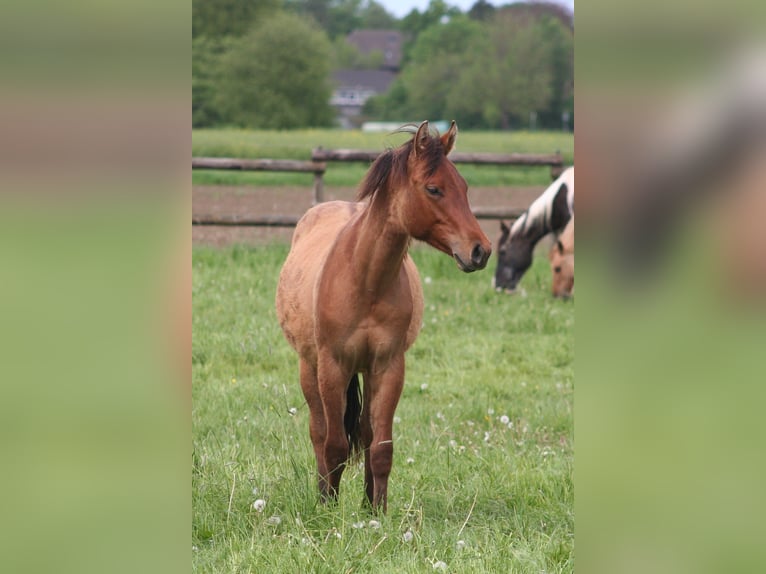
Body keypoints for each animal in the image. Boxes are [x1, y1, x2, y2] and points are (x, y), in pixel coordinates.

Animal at [276, 120, 492, 512]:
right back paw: (322, 495)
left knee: (364, 431)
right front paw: (329, 510)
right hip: (309, 367)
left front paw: (377, 511)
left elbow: (381, 447)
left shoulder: (389, 367)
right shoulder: (333, 367)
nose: (480, 250)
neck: (365, 280)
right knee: (319, 432)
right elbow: (334, 446)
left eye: (464, 187)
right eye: (434, 188)